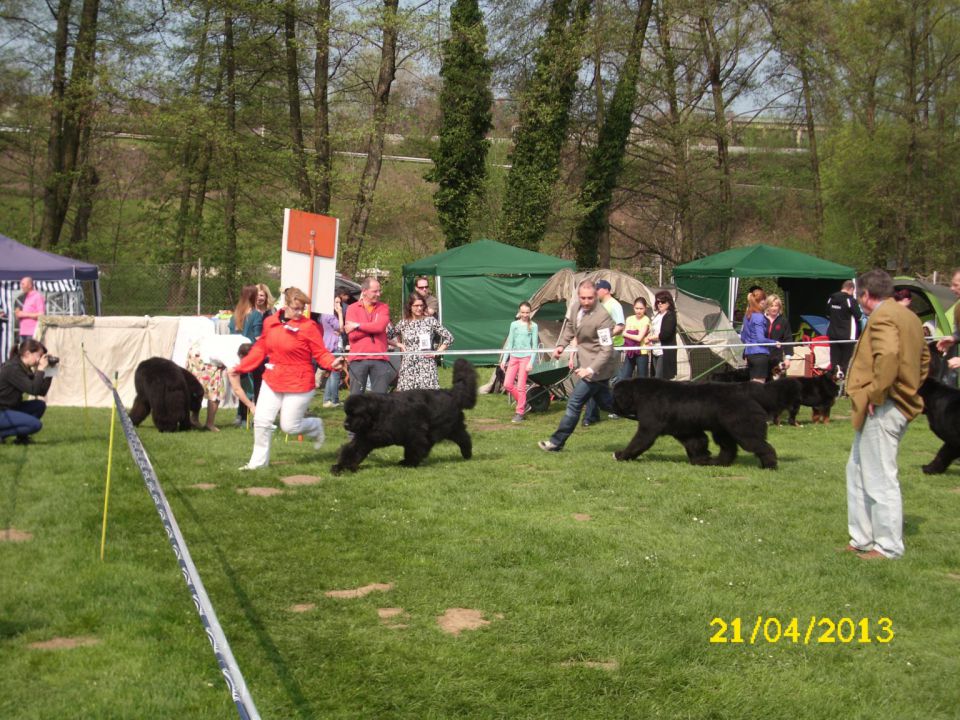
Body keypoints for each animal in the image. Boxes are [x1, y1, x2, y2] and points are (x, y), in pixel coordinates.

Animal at [332, 358, 478, 472]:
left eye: (355, 414)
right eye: (347, 413)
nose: (346, 424)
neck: (377, 415)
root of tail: (451, 393)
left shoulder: (413, 432)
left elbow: (414, 447)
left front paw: (408, 463)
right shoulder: (365, 436)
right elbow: (353, 450)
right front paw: (341, 467)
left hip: (444, 426)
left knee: (462, 438)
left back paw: (466, 453)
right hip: (448, 427)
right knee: (461, 436)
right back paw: (467, 453)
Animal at [616, 380, 780, 470]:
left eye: (616, 395)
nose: (613, 404)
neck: (639, 394)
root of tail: (747, 389)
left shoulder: (648, 427)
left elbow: (638, 442)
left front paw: (621, 455)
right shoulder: (686, 431)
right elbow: (697, 443)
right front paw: (701, 460)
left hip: (744, 430)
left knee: (764, 447)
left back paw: (769, 466)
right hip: (722, 431)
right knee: (729, 449)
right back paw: (718, 462)